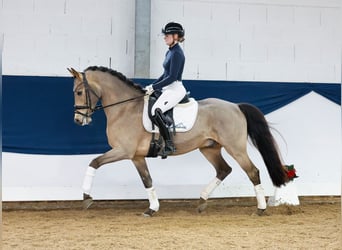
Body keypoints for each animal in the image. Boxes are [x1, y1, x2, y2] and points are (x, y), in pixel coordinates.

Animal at [67, 65, 288, 216]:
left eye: (79, 92)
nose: (78, 120)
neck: (125, 108)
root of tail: (235, 106)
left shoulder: (124, 151)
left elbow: (94, 162)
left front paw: (86, 198)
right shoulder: (136, 156)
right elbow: (147, 180)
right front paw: (152, 208)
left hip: (235, 148)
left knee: (252, 171)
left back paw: (260, 209)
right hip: (209, 148)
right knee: (223, 170)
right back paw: (201, 201)